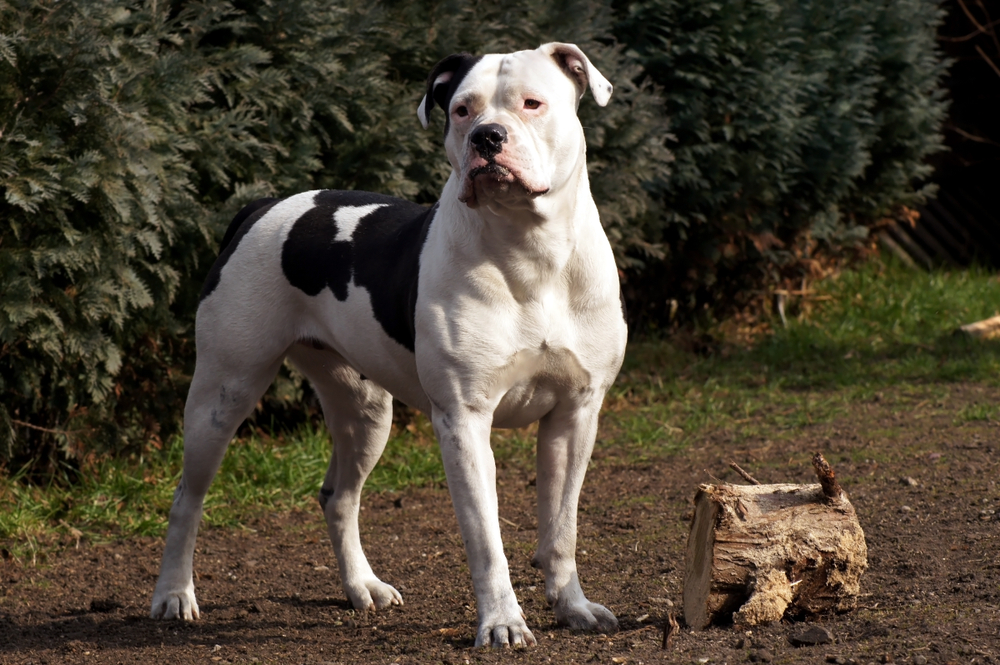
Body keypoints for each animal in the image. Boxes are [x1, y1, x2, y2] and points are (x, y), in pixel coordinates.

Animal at [150, 42, 624, 648]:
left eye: (532, 103)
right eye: (462, 110)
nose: (487, 137)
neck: (530, 249)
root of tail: (261, 207)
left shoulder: (575, 414)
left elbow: (563, 527)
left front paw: (572, 606)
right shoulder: (464, 421)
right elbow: (486, 540)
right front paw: (501, 622)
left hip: (365, 410)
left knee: (339, 496)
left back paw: (362, 587)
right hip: (222, 393)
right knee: (187, 498)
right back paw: (173, 594)